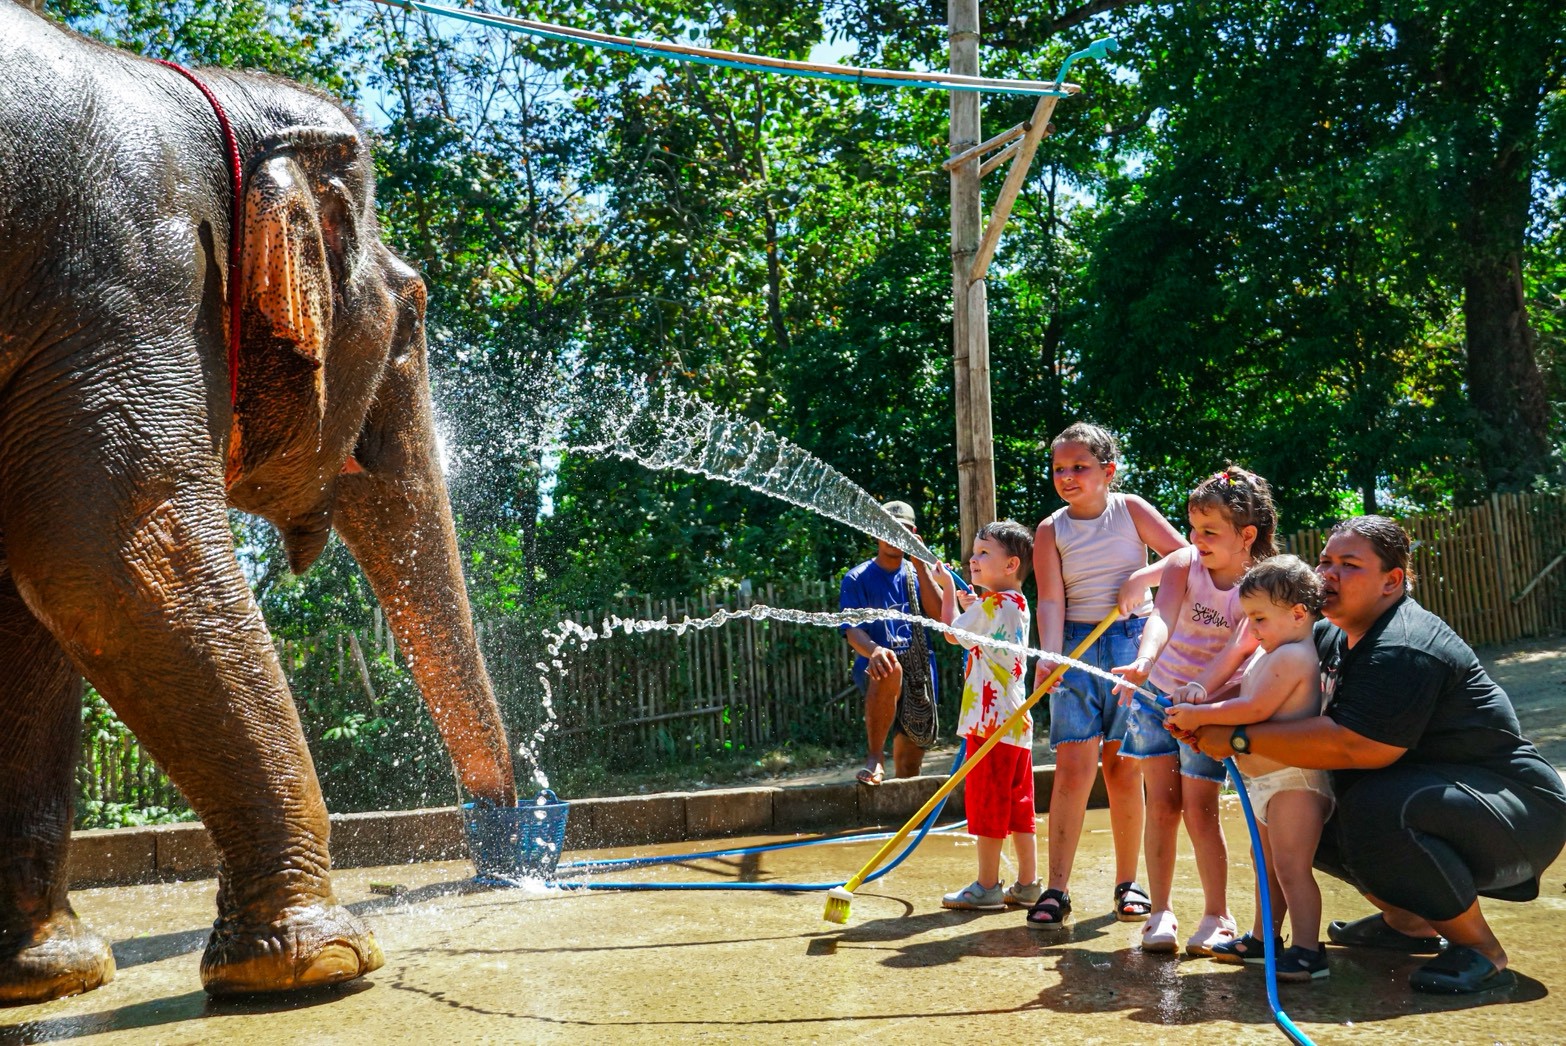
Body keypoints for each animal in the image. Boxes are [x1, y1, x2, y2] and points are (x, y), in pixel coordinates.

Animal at [0, 0, 517, 1005]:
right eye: (416, 313)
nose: (511, 859)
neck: (207, 99)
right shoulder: (124, 275)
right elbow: (111, 552)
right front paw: (325, 963)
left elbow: (27, 605)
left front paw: (53, 976)